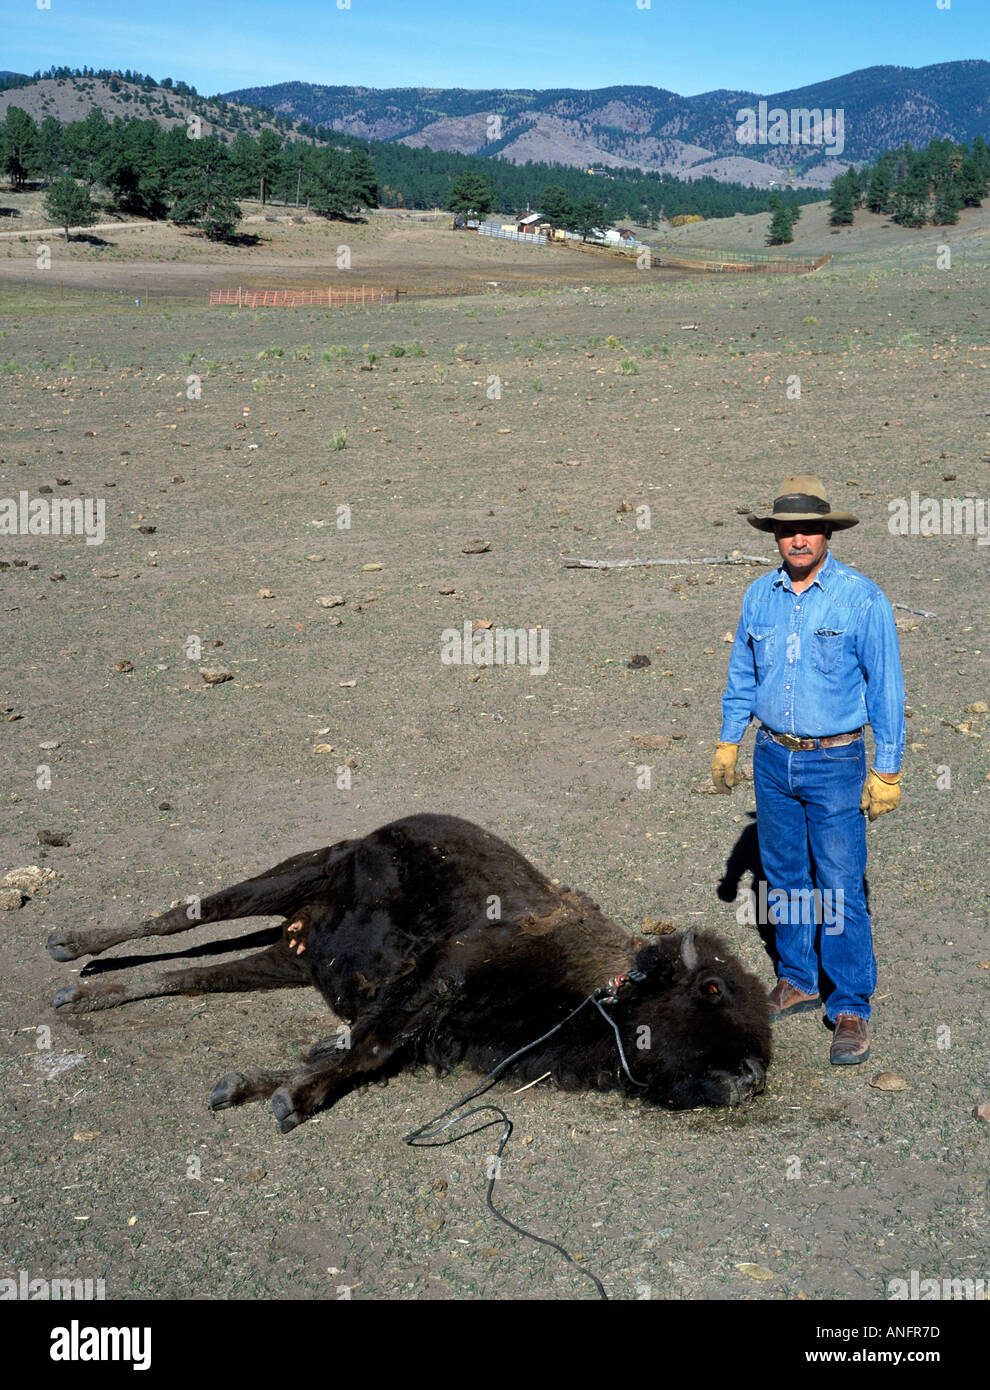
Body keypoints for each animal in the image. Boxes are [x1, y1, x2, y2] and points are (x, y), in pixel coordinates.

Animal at [48, 811, 773, 1128]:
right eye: (711, 988)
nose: (748, 1076)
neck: (596, 987)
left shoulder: (427, 1029)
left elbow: (355, 1050)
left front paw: (259, 1090)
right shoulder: (440, 976)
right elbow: (363, 1044)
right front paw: (287, 1099)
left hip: (286, 957)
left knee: (190, 975)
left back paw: (87, 995)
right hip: (298, 873)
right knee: (182, 916)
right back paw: (68, 947)